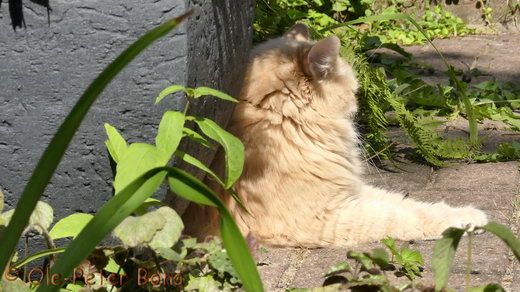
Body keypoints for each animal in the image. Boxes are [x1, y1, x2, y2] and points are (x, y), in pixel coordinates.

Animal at [183, 24, 488, 248]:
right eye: (352, 91)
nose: (357, 105)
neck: (284, 125)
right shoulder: (328, 217)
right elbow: (399, 217)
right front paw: (467, 220)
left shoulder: (350, 192)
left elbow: (406, 203)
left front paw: (466, 214)